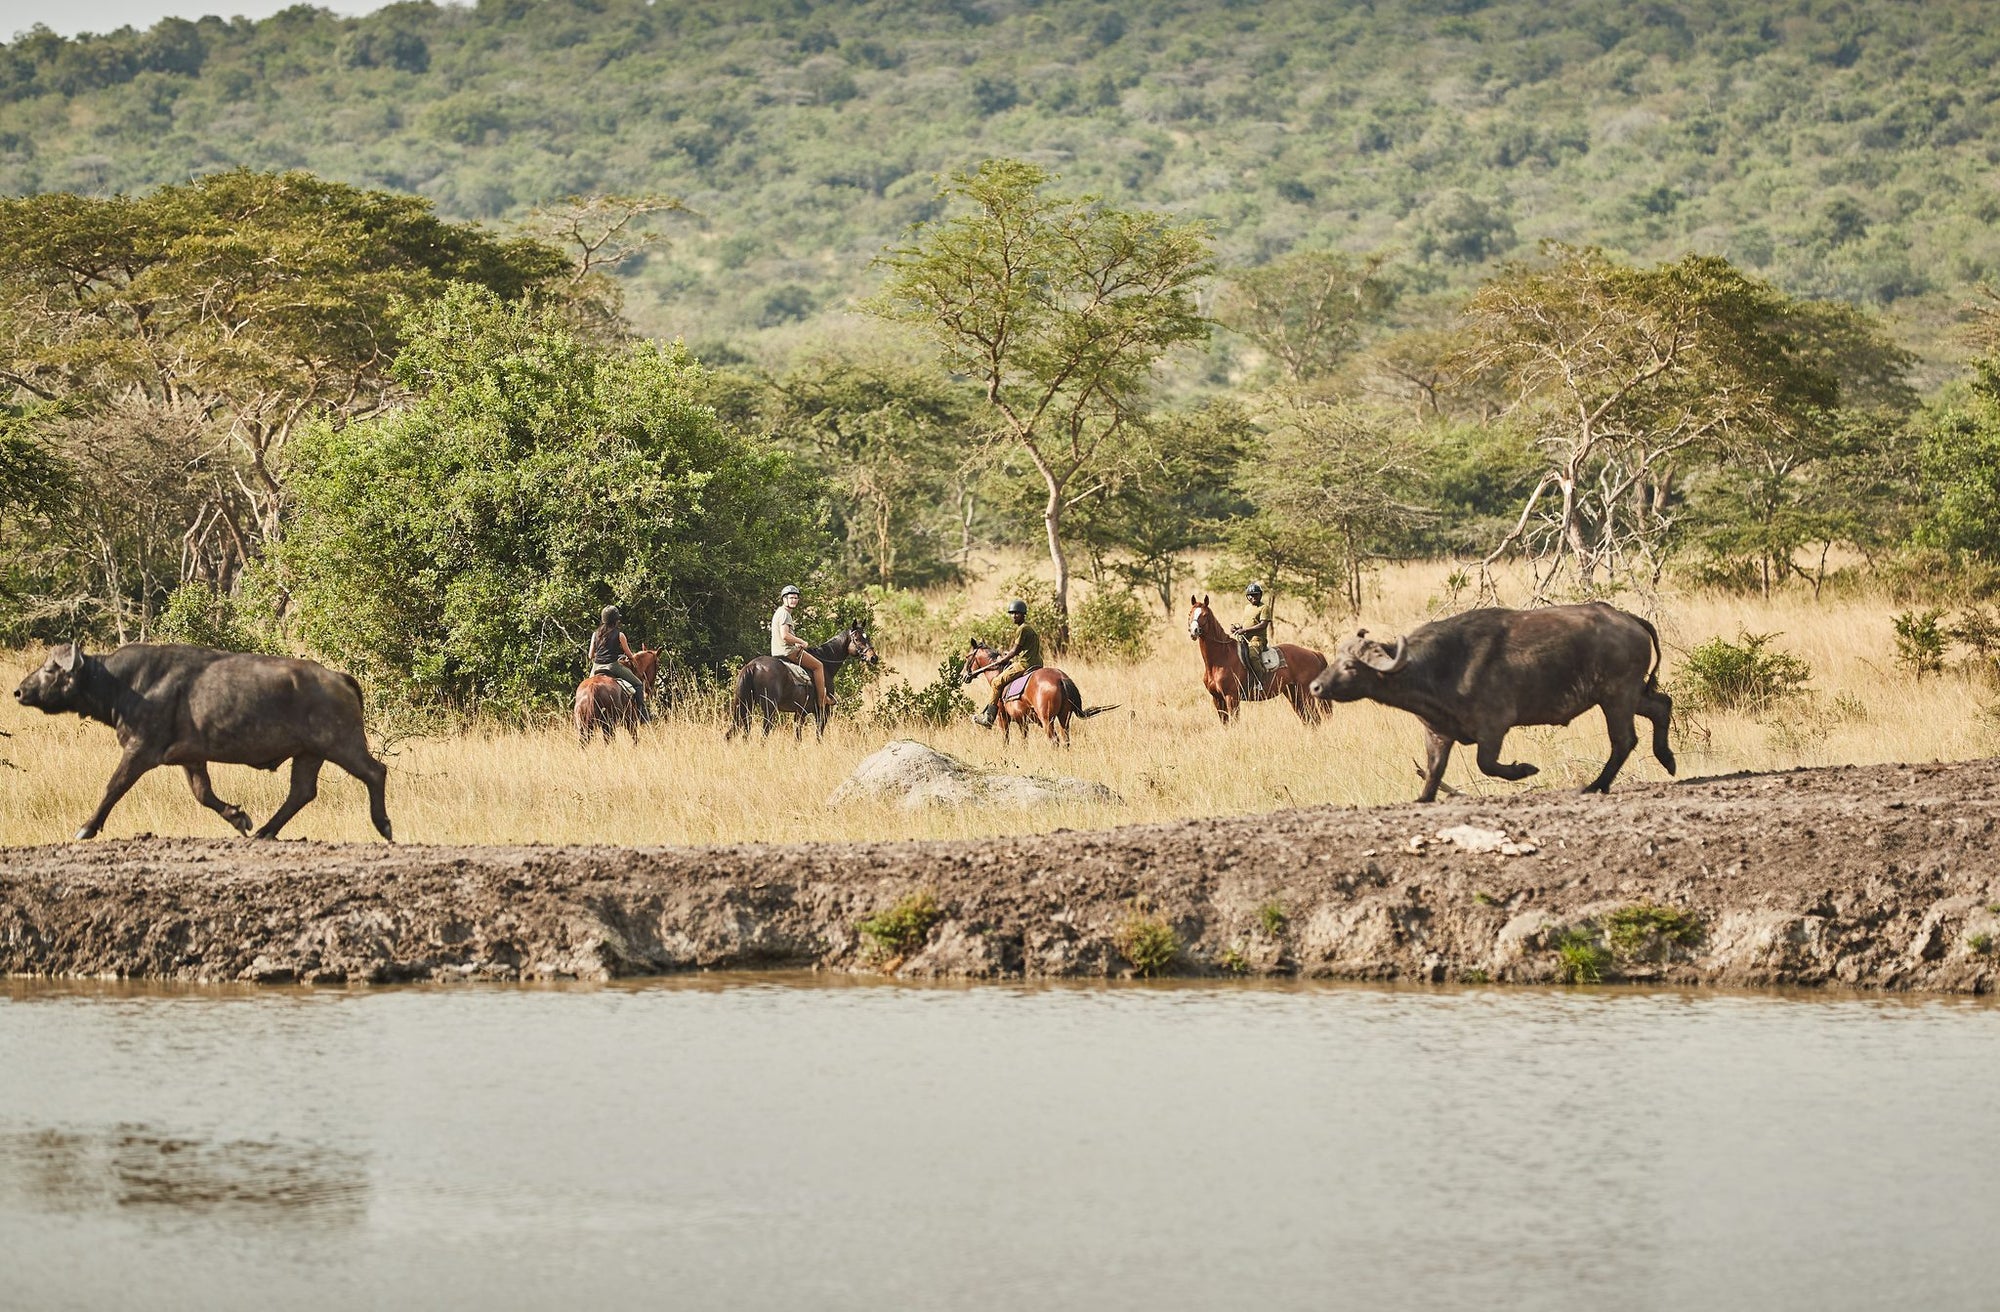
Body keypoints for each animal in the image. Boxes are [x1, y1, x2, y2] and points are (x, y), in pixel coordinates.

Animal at [725, 627, 879, 740]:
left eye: (868, 637)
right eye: (857, 639)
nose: (873, 657)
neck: (825, 662)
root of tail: (754, 665)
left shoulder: (800, 712)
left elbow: (797, 738)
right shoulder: (822, 711)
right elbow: (818, 736)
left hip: (745, 706)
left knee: (735, 732)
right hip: (769, 709)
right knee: (763, 735)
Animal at [959, 637, 1117, 746]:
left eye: (967, 657)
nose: (962, 675)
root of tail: (1061, 678)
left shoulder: (1003, 718)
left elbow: (1006, 739)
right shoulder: (1022, 721)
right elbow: (1024, 741)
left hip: (1047, 720)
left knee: (1054, 740)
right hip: (1064, 717)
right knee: (1065, 740)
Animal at [1187, 595, 1327, 725]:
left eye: (1204, 615)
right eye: (1190, 613)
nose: (1194, 631)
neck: (1220, 659)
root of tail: (1314, 653)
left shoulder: (1231, 697)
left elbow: (1234, 723)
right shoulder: (1217, 698)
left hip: (1306, 694)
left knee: (1316, 718)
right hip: (1293, 693)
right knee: (1307, 719)